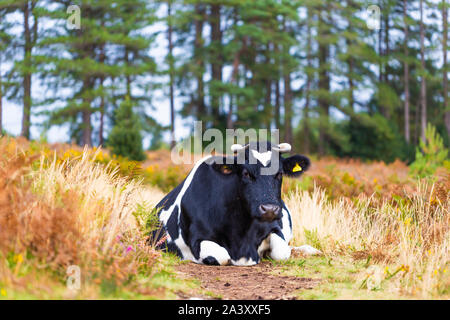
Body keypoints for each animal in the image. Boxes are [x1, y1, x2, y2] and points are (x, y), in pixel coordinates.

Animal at [153, 141, 312, 266]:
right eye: (246, 173)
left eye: (279, 174)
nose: (269, 209)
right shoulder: (197, 238)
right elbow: (222, 256)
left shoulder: (274, 227)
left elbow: (282, 252)